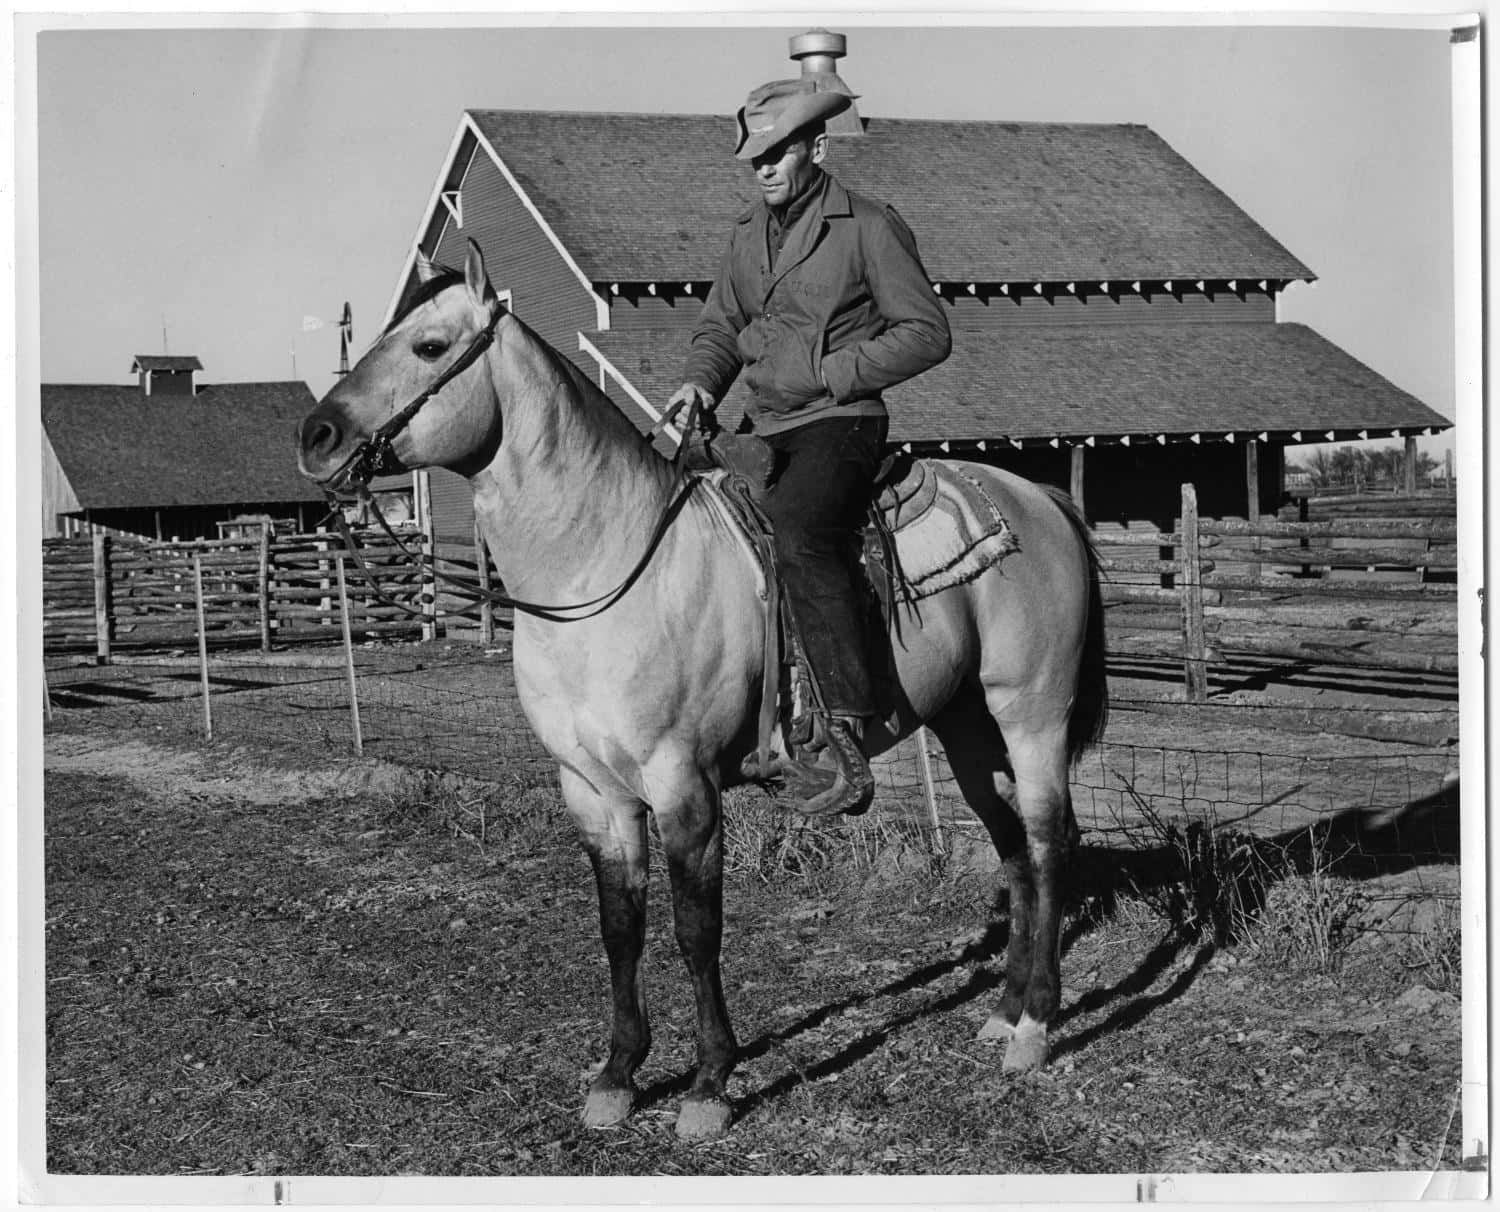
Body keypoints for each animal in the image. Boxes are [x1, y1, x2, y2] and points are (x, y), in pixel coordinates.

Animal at [298, 239, 1108, 1141]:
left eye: (429, 346)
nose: (317, 435)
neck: (605, 566)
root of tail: (1042, 499)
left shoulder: (682, 783)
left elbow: (696, 929)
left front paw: (710, 1083)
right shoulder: (591, 790)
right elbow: (620, 928)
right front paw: (618, 1075)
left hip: (1032, 714)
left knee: (1048, 841)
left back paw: (1036, 1028)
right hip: (966, 729)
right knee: (1013, 849)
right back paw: (1003, 1011)